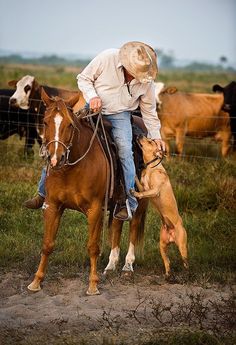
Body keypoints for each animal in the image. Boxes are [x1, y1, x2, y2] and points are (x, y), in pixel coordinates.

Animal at [27, 87, 148, 294]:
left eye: (69, 124)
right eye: (45, 122)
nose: (56, 159)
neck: (71, 169)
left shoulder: (94, 210)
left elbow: (93, 246)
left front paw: (93, 284)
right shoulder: (52, 206)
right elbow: (47, 244)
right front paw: (36, 281)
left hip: (139, 203)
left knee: (133, 227)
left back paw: (127, 267)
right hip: (117, 203)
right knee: (117, 224)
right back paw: (111, 265)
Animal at [133, 135, 188, 276]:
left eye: (150, 141)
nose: (139, 135)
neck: (151, 167)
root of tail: (172, 236)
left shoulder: (154, 190)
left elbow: (144, 193)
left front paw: (135, 193)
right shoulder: (144, 186)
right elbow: (139, 184)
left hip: (182, 246)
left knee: (185, 262)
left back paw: (187, 273)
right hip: (162, 246)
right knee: (167, 262)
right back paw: (168, 275)